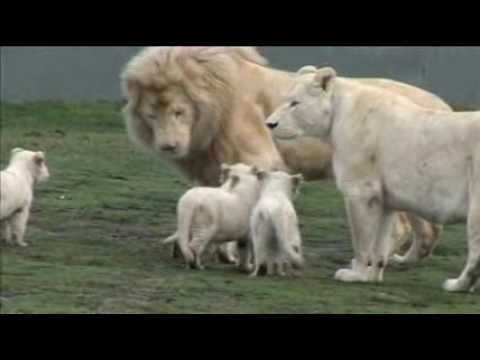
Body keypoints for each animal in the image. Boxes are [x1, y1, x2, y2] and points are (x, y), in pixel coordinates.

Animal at [121, 46, 450, 262]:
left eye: (179, 112)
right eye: (151, 115)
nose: (169, 146)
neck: (213, 105)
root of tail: (442, 104)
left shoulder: (257, 156)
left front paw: (228, 250)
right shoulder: (209, 165)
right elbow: (214, 199)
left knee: (404, 226)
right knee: (425, 229)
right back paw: (403, 259)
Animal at [266, 67, 480, 292]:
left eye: (294, 103)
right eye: (284, 100)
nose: (269, 124)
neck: (338, 113)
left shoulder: (360, 191)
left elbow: (361, 239)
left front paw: (355, 274)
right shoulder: (384, 199)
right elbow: (379, 241)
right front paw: (372, 276)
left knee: (476, 254)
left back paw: (456, 285)